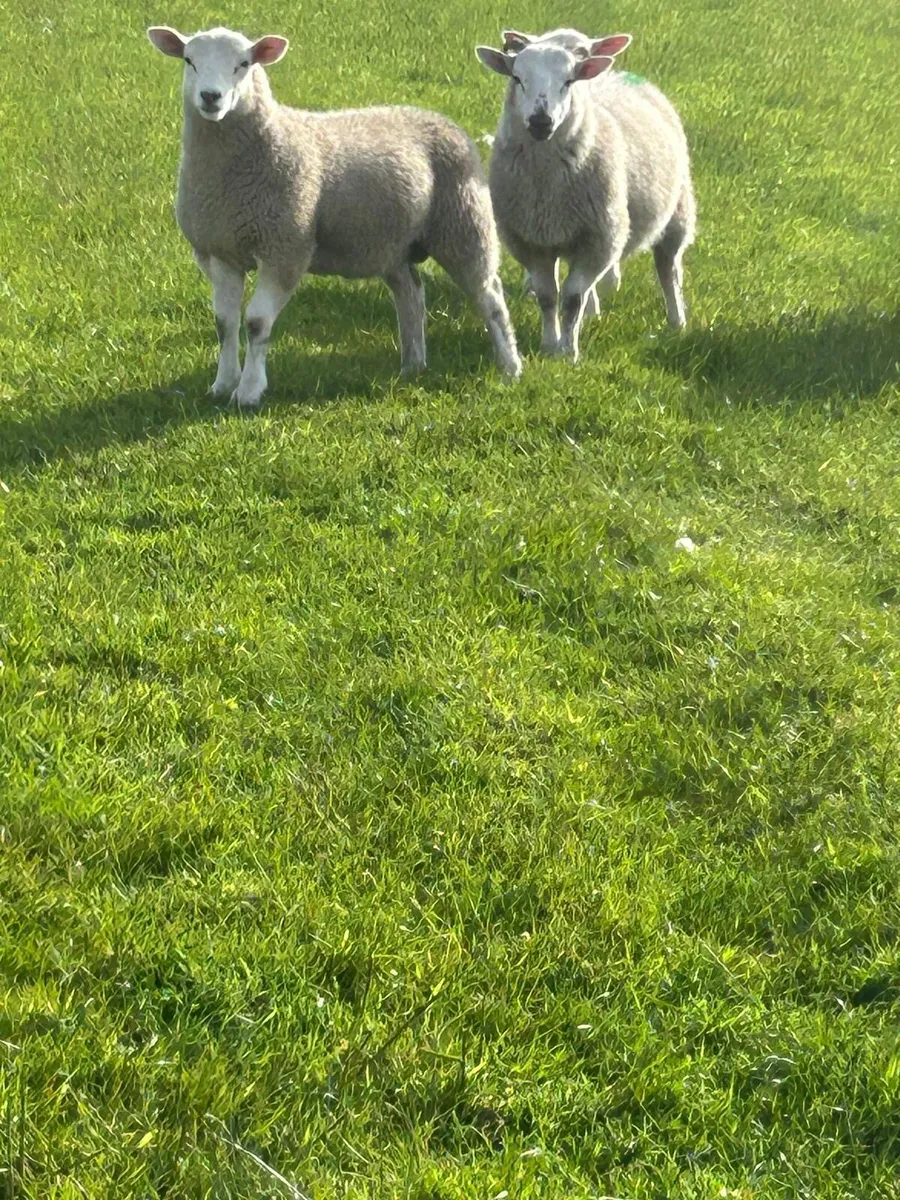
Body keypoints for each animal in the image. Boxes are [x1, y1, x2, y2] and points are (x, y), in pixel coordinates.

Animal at [147, 25, 521, 408]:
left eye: (244, 64)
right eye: (189, 60)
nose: (211, 97)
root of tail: (440, 119)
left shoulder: (285, 249)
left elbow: (256, 322)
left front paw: (249, 392)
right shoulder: (221, 250)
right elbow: (225, 323)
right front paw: (222, 384)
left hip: (464, 225)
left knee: (490, 297)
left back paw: (510, 367)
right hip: (392, 242)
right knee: (411, 295)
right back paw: (413, 365)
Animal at [476, 29, 696, 362]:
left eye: (568, 81)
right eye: (517, 78)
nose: (541, 121)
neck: (546, 186)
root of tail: (618, 76)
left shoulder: (599, 240)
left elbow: (572, 298)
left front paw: (568, 353)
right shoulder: (530, 241)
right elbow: (548, 296)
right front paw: (550, 345)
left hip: (677, 211)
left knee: (668, 269)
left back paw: (676, 321)